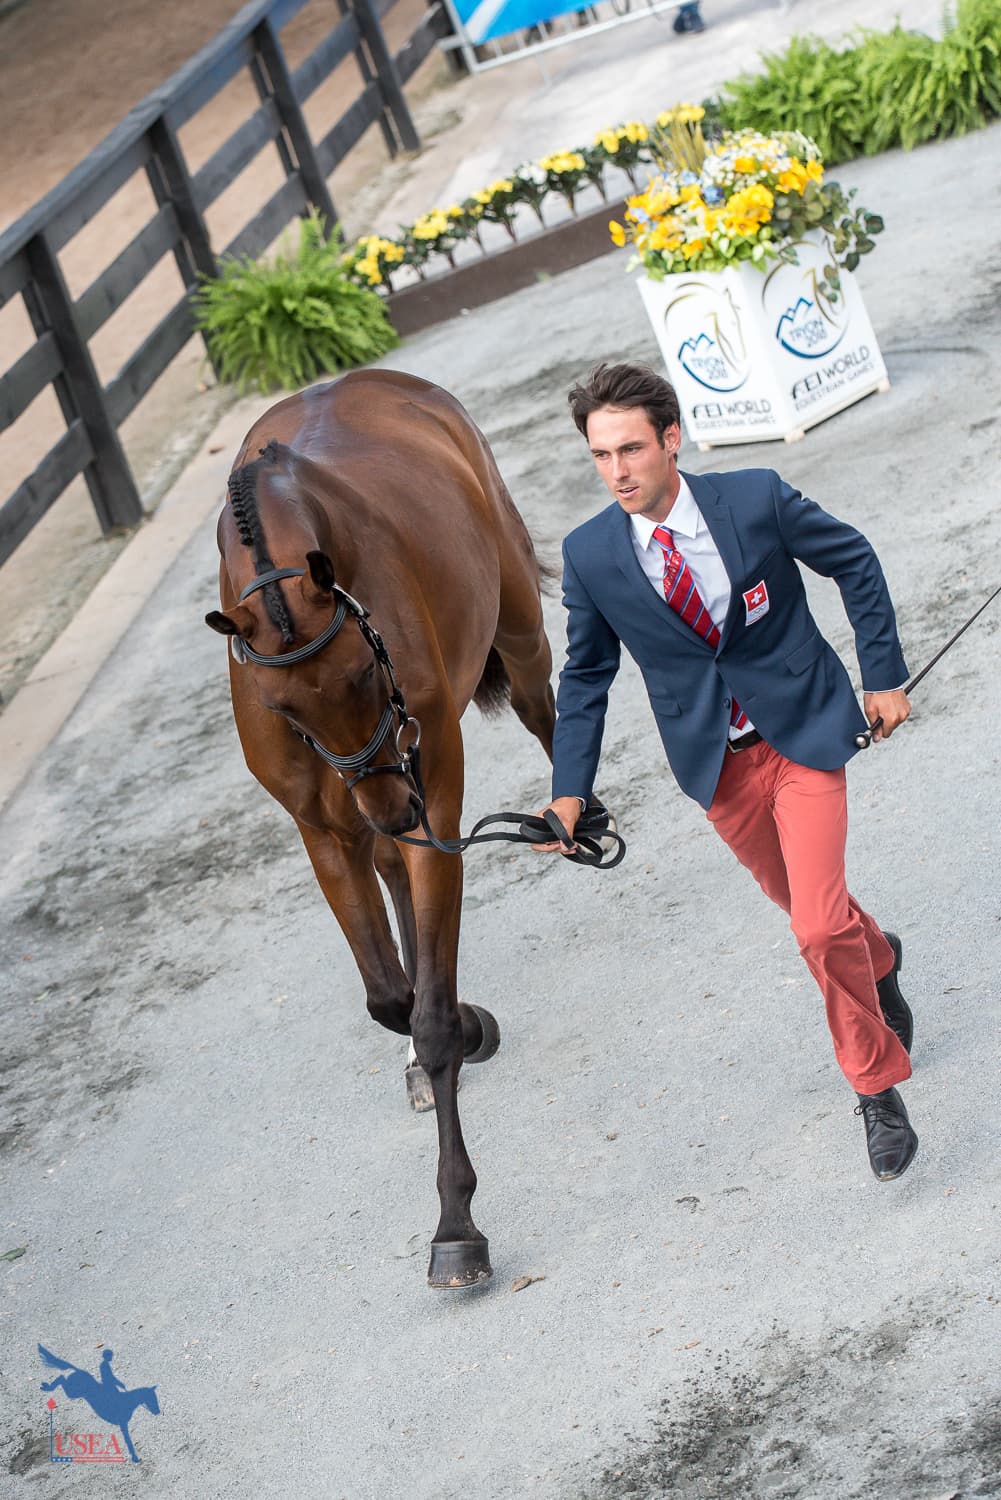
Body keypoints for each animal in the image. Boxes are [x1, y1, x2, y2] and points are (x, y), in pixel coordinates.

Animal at [205, 370, 557, 1288]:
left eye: (367, 669)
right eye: (283, 707)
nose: (392, 805)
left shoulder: (434, 797)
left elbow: (426, 1013)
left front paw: (455, 1224)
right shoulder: (325, 832)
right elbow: (390, 997)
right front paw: (460, 1025)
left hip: (517, 630)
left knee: (548, 708)